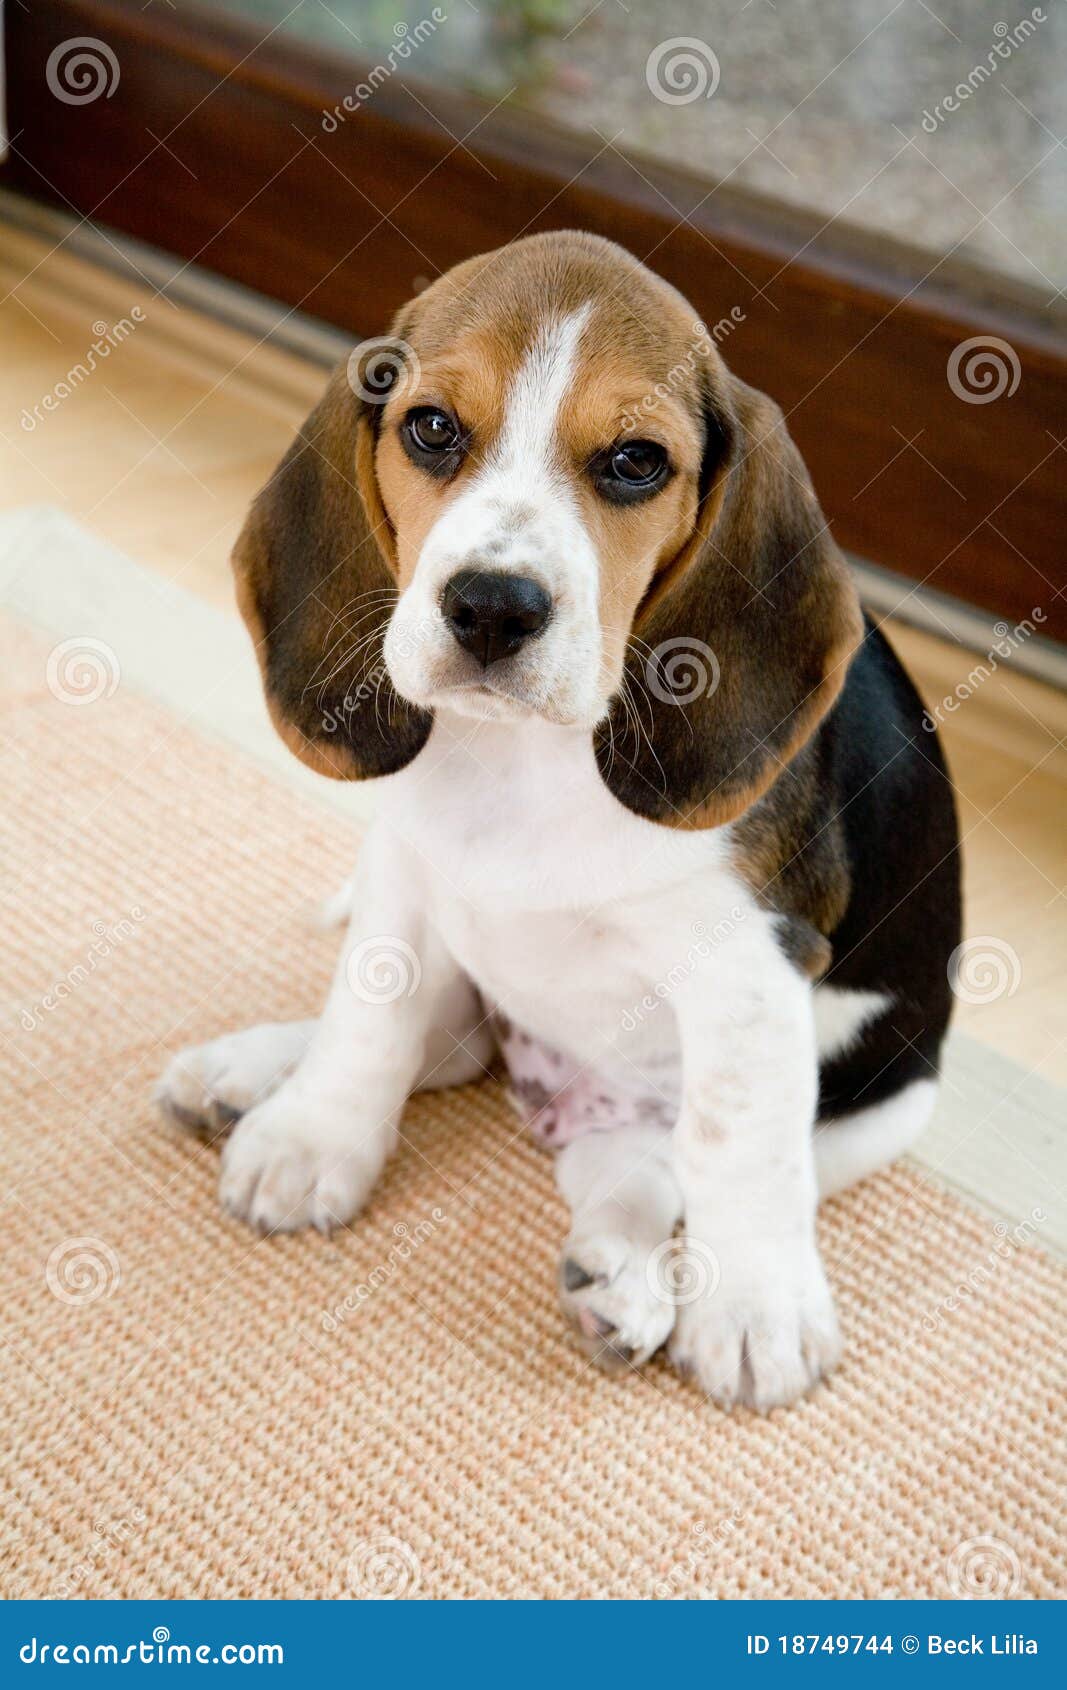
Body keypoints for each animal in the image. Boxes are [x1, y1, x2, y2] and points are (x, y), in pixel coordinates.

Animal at [156, 231, 960, 1406]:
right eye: (430, 429)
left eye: (634, 461)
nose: (492, 605)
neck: (529, 760)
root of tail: (553, 1094)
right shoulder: (409, 872)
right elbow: (370, 1016)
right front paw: (314, 1134)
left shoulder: (751, 967)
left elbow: (739, 1147)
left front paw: (754, 1308)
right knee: (446, 1045)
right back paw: (248, 1076)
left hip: (881, 1105)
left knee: (653, 1170)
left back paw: (627, 1281)